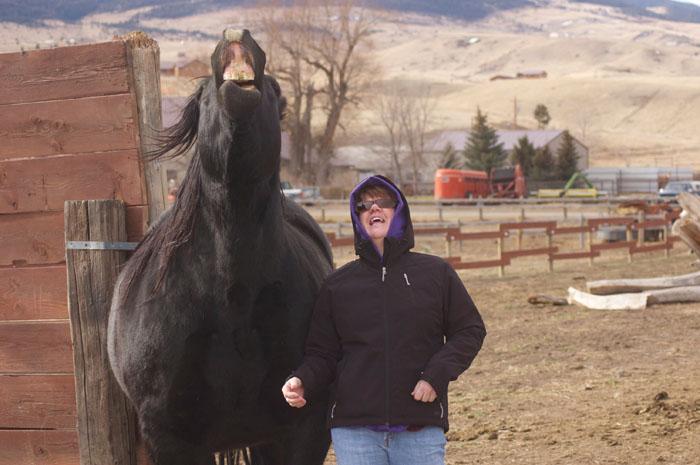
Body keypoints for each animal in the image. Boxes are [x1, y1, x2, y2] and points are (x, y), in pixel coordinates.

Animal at [107, 29, 332, 465]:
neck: (232, 294)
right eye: (203, 97)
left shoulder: (301, 431)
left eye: (277, 93)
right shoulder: (171, 437)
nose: (236, 35)